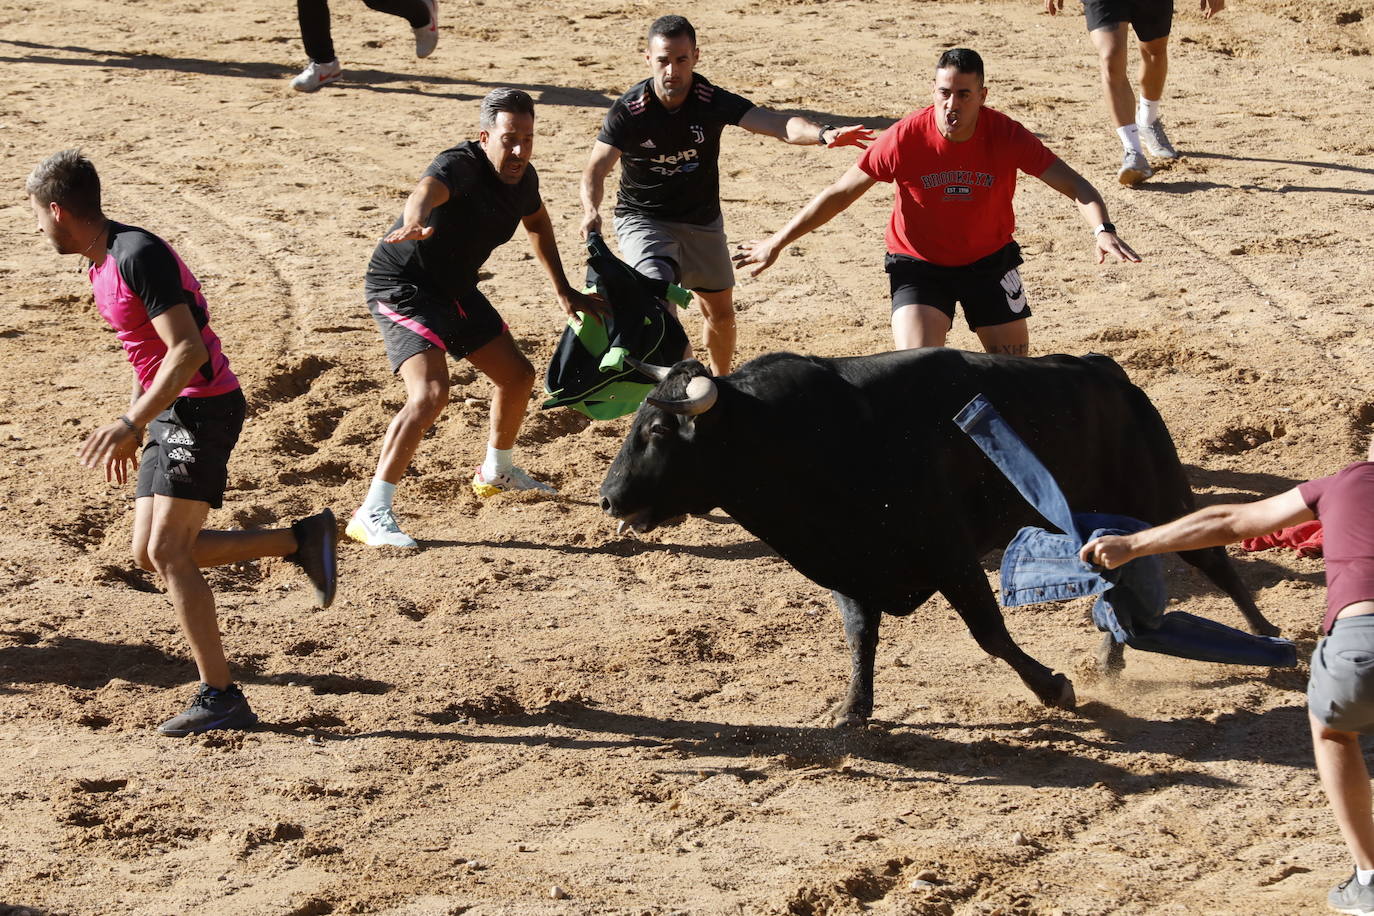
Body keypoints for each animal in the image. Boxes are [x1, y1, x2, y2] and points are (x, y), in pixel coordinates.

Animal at [601, 347, 1275, 725]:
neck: (797, 435)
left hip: (1157, 495)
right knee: (1116, 574)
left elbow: (989, 632)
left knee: (1212, 557)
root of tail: (1106, 373)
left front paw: (1054, 688)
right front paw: (852, 709)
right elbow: (859, 636)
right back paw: (1112, 659)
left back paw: (1269, 640)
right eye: (636, 422)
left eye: (658, 431)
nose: (609, 498)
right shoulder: (850, 564)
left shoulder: (949, 554)